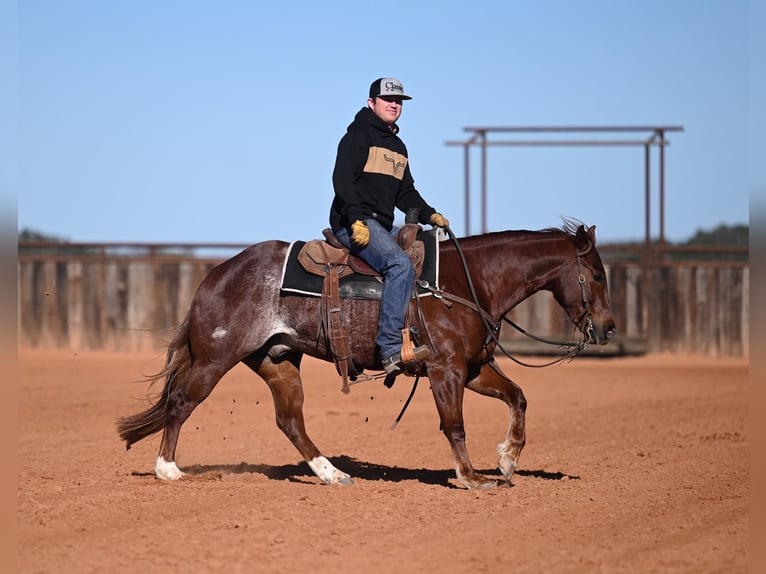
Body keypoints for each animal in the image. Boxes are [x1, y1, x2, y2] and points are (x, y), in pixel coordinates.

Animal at [117, 219, 616, 490]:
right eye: (596, 274)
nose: (610, 328)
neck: (468, 281)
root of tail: (214, 276)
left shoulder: (473, 368)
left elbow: (518, 397)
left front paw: (508, 458)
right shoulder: (446, 371)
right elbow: (454, 425)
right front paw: (472, 476)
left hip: (277, 361)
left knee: (290, 421)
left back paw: (331, 474)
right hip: (214, 359)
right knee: (181, 403)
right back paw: (168, 470)